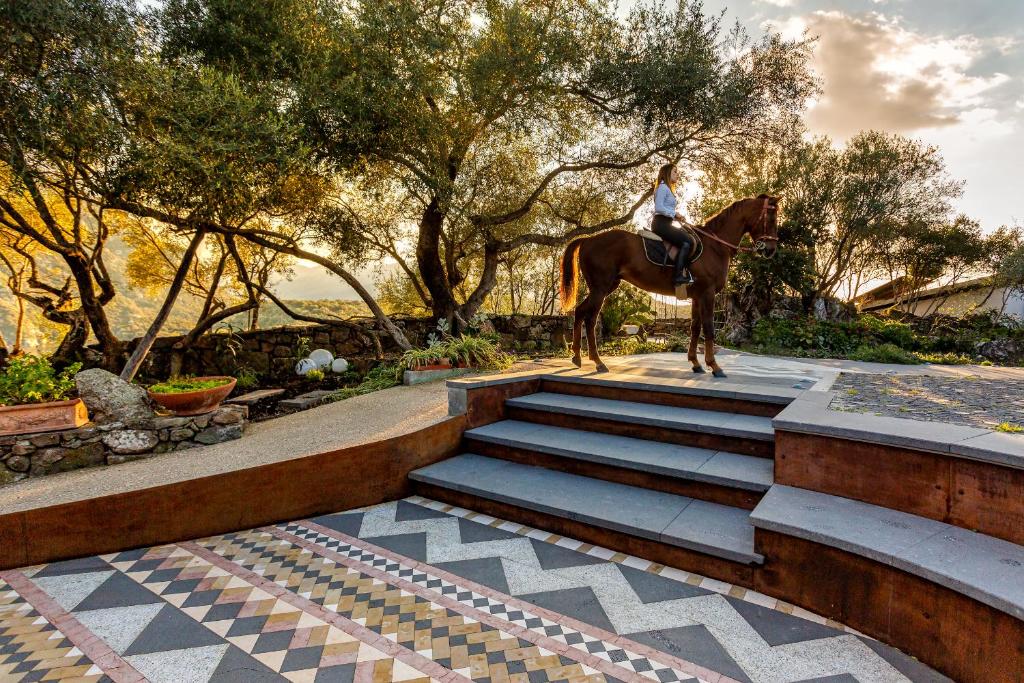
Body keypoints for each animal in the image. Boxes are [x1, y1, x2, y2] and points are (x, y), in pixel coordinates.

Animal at [561, 196, 774, 378]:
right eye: (771, 218)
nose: (771, 251)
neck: (715, 246)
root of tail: (588, 239)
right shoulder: (708, 293)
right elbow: (709, 328)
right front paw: (714, 366)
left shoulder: (697, 296)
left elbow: (695, 328)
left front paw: (696, 364)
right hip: (600, 288)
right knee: (590, 319)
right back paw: (597, 361)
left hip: (605, 286)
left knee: (580, 312)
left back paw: (577, 357)